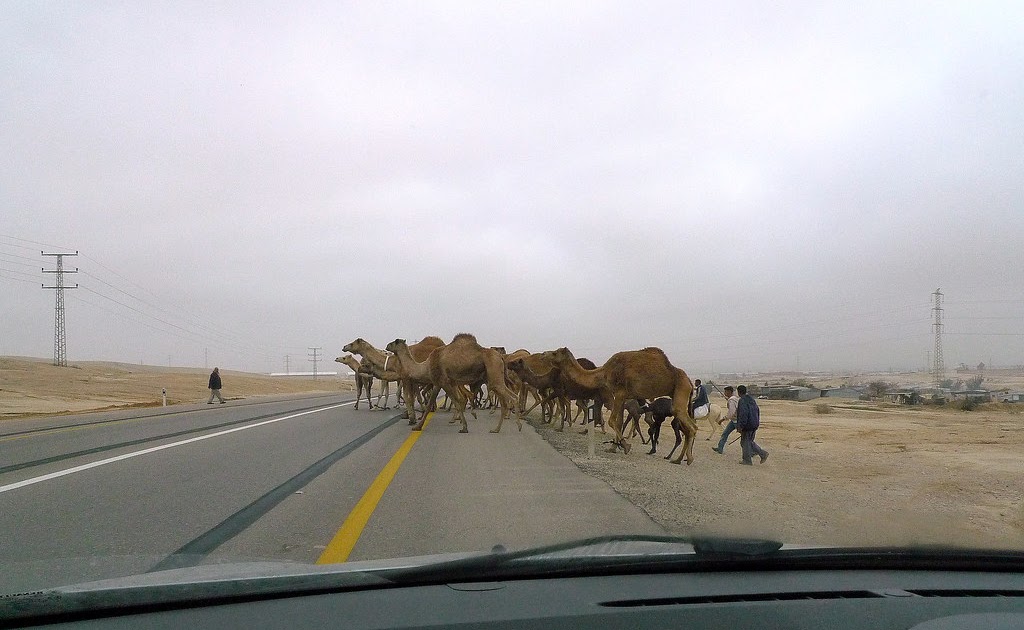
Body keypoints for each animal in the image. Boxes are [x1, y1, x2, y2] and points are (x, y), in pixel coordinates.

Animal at [539, 347, 697, 464]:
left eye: (555, 352)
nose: (543, 354)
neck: (604, 372)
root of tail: (690, 381)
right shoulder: (622, 396)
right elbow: (619, 421)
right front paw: (613, 448)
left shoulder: (620, 393)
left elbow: (612, 420)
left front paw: (626, 446)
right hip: (678, 394)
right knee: (687, 428)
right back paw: (678, 459)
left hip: (681, 390)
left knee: (692, 427)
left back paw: (688, 459)